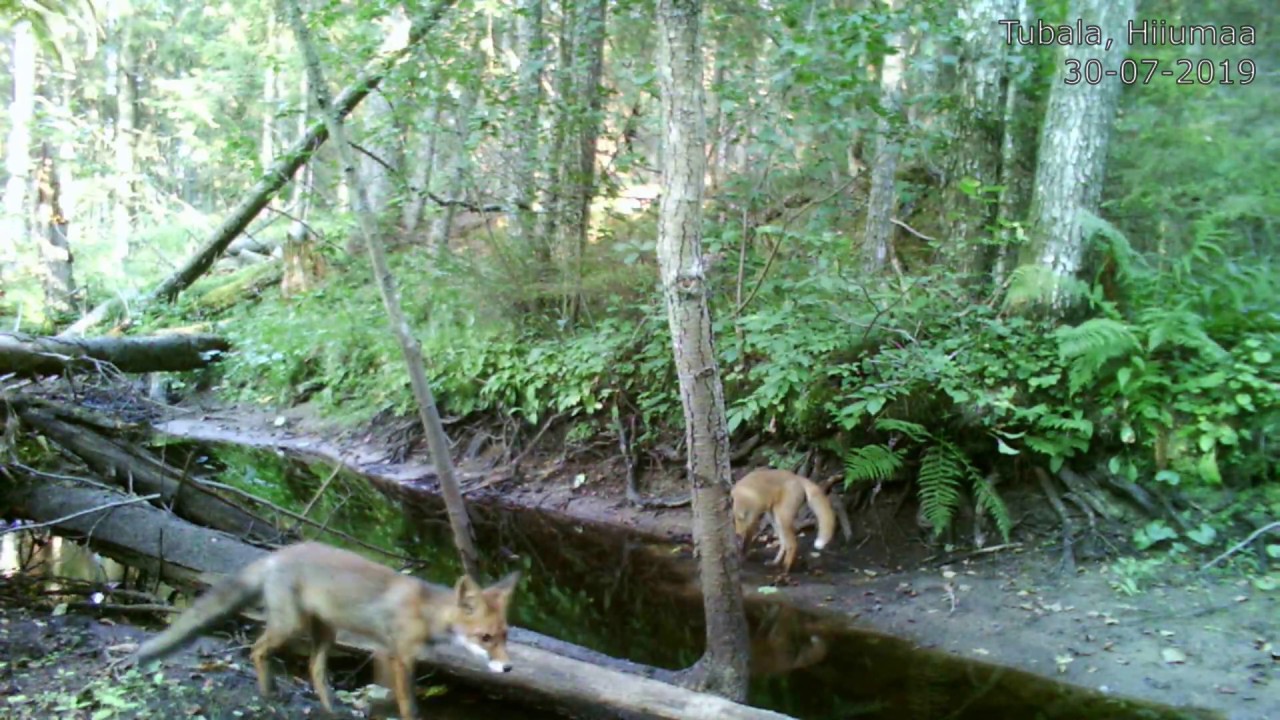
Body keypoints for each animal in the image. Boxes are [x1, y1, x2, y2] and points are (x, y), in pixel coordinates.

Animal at [131, 542, 520, 720]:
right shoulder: (395, 655)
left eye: (504, 636)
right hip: (289, 626)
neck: (424, 611)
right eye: (485, 637)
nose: (508, 668)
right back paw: (269, 692)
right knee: (257, 650)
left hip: (325, 634)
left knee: (315, 670)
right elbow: (405, 703)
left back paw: (330, 707)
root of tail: (278, 553)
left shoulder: (390, 655)